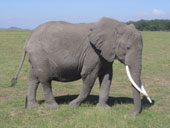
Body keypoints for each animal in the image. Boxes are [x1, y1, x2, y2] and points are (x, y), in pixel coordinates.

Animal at [10, 16, 151, 114]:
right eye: (127, 47)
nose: (130, 113)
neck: (116, 26)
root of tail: (28, 38)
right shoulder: (92, 52)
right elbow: (88, 77)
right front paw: (73, 105)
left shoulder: (105, 54)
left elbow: (107, 78)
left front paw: (104, 109)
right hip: (39, 55)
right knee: (45, 79)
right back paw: (53, 107)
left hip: (35, 57)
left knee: (33, 78)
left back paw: (32, 107)